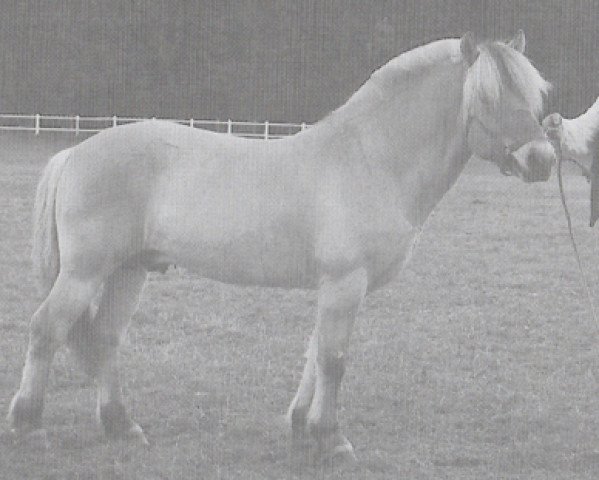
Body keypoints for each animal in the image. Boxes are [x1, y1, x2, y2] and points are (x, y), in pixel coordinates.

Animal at [5, 31, 556, 462]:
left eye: (531, 96)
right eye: (487, 96)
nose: (543, 160)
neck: (371, 159)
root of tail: (76, 150)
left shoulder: (334, 288)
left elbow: (315, 351)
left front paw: (300, 428)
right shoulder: (344, 283)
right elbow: (333, 358)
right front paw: (331, 440)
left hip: (129, 272)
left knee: (103, 339)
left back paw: (122, 427)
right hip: (85, 272)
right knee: (46, 330)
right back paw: (30, 428)